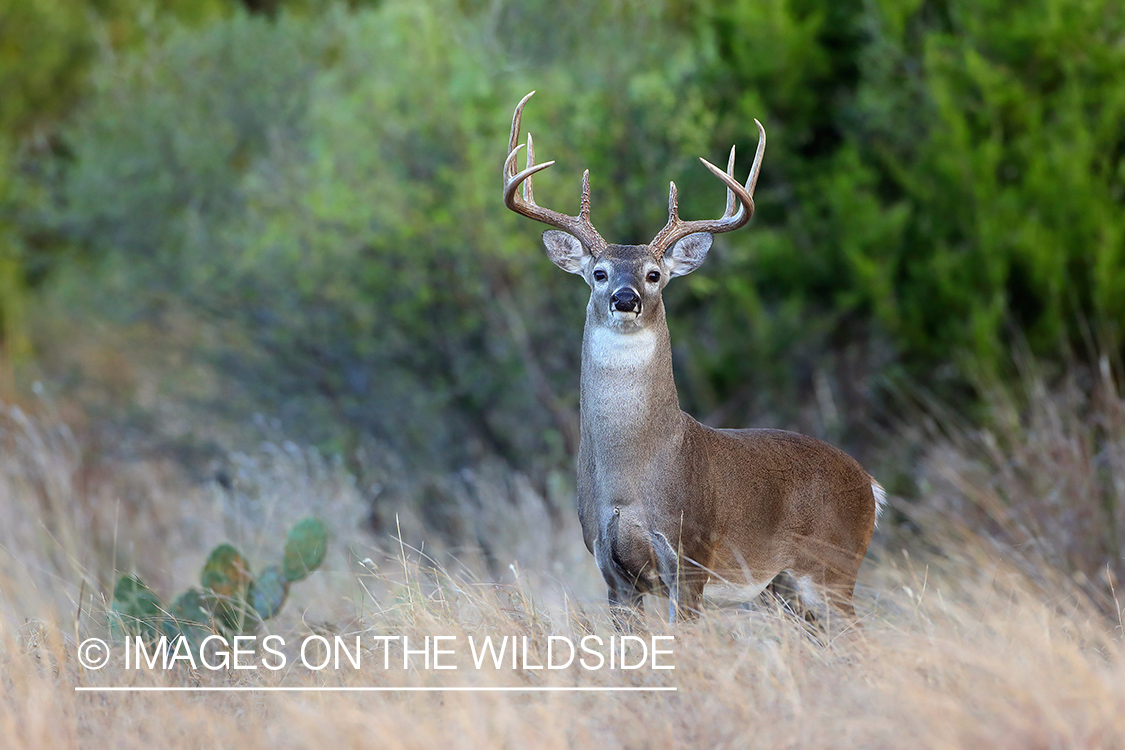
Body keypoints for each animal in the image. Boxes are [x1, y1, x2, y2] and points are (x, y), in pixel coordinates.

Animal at [504, 91, 886, 625]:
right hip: (786, 590)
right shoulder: (610, 571)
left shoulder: (690, 557)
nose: (625, 298)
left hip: (833, 568)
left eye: (654, 274)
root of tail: (871, 485)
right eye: (599, 273)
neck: (631, 480)